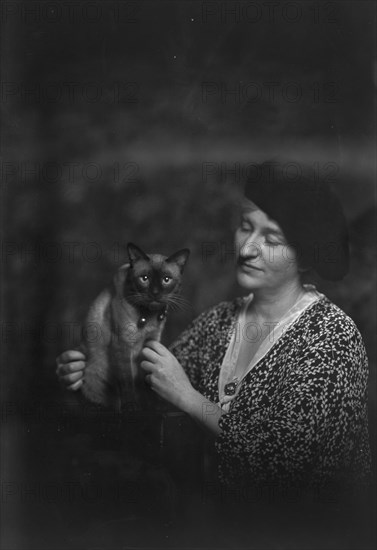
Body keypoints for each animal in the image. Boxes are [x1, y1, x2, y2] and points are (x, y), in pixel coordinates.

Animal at [80, 244, 189, 412]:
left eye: (166, 280)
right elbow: (127, 383)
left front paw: (152, 407)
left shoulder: (151, 342)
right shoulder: (123, 346)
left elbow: (147, 380)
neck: (149, 316)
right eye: (145, 278)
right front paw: (132, 409)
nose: (155, 293)